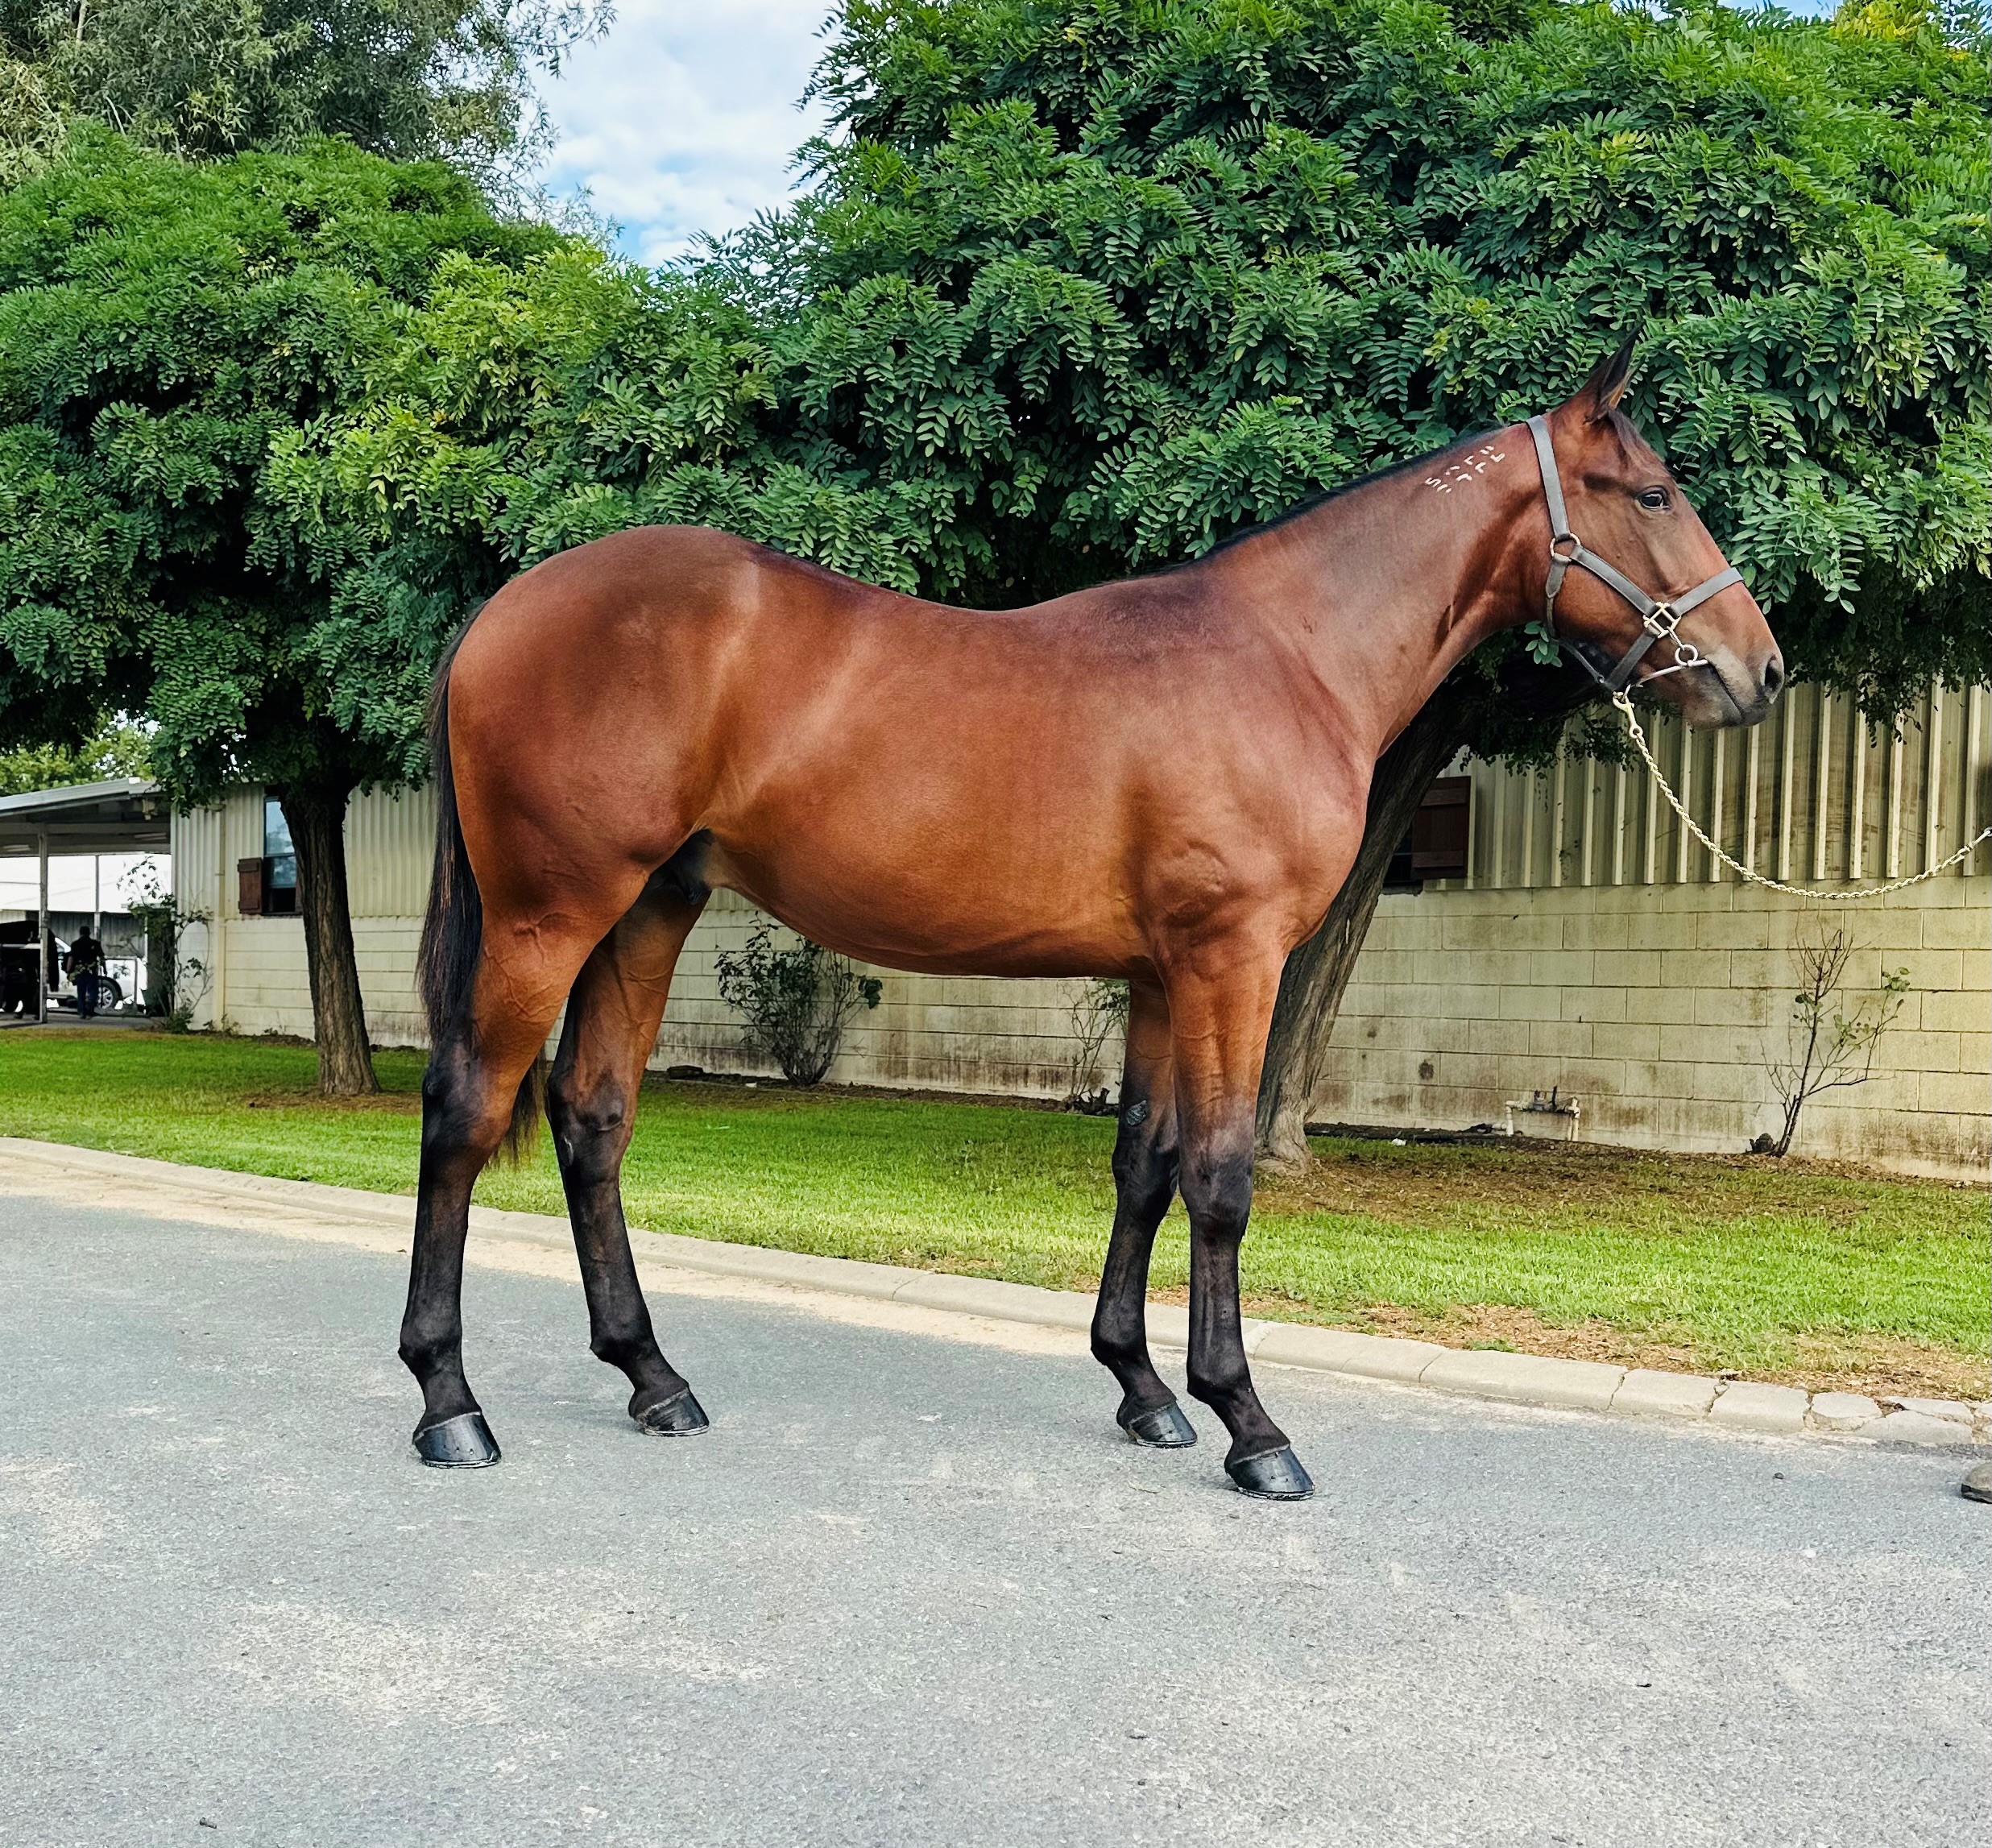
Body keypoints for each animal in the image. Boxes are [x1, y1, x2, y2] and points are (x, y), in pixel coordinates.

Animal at [400, 343, 1784, 1498]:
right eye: (1652, 493)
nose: (1758, 669)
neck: (1286, 651)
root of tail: (506, 606)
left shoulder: (1166, 972)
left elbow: (1147, 1162)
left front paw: (1143, 1387)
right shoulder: (1234, 959)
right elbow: (1220, 1176)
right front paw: (1250, 1424)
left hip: (652, 907)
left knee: (592, 1115)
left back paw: (653, 1377)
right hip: (550, 914)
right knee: (467, 1109)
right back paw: (450, 1402)